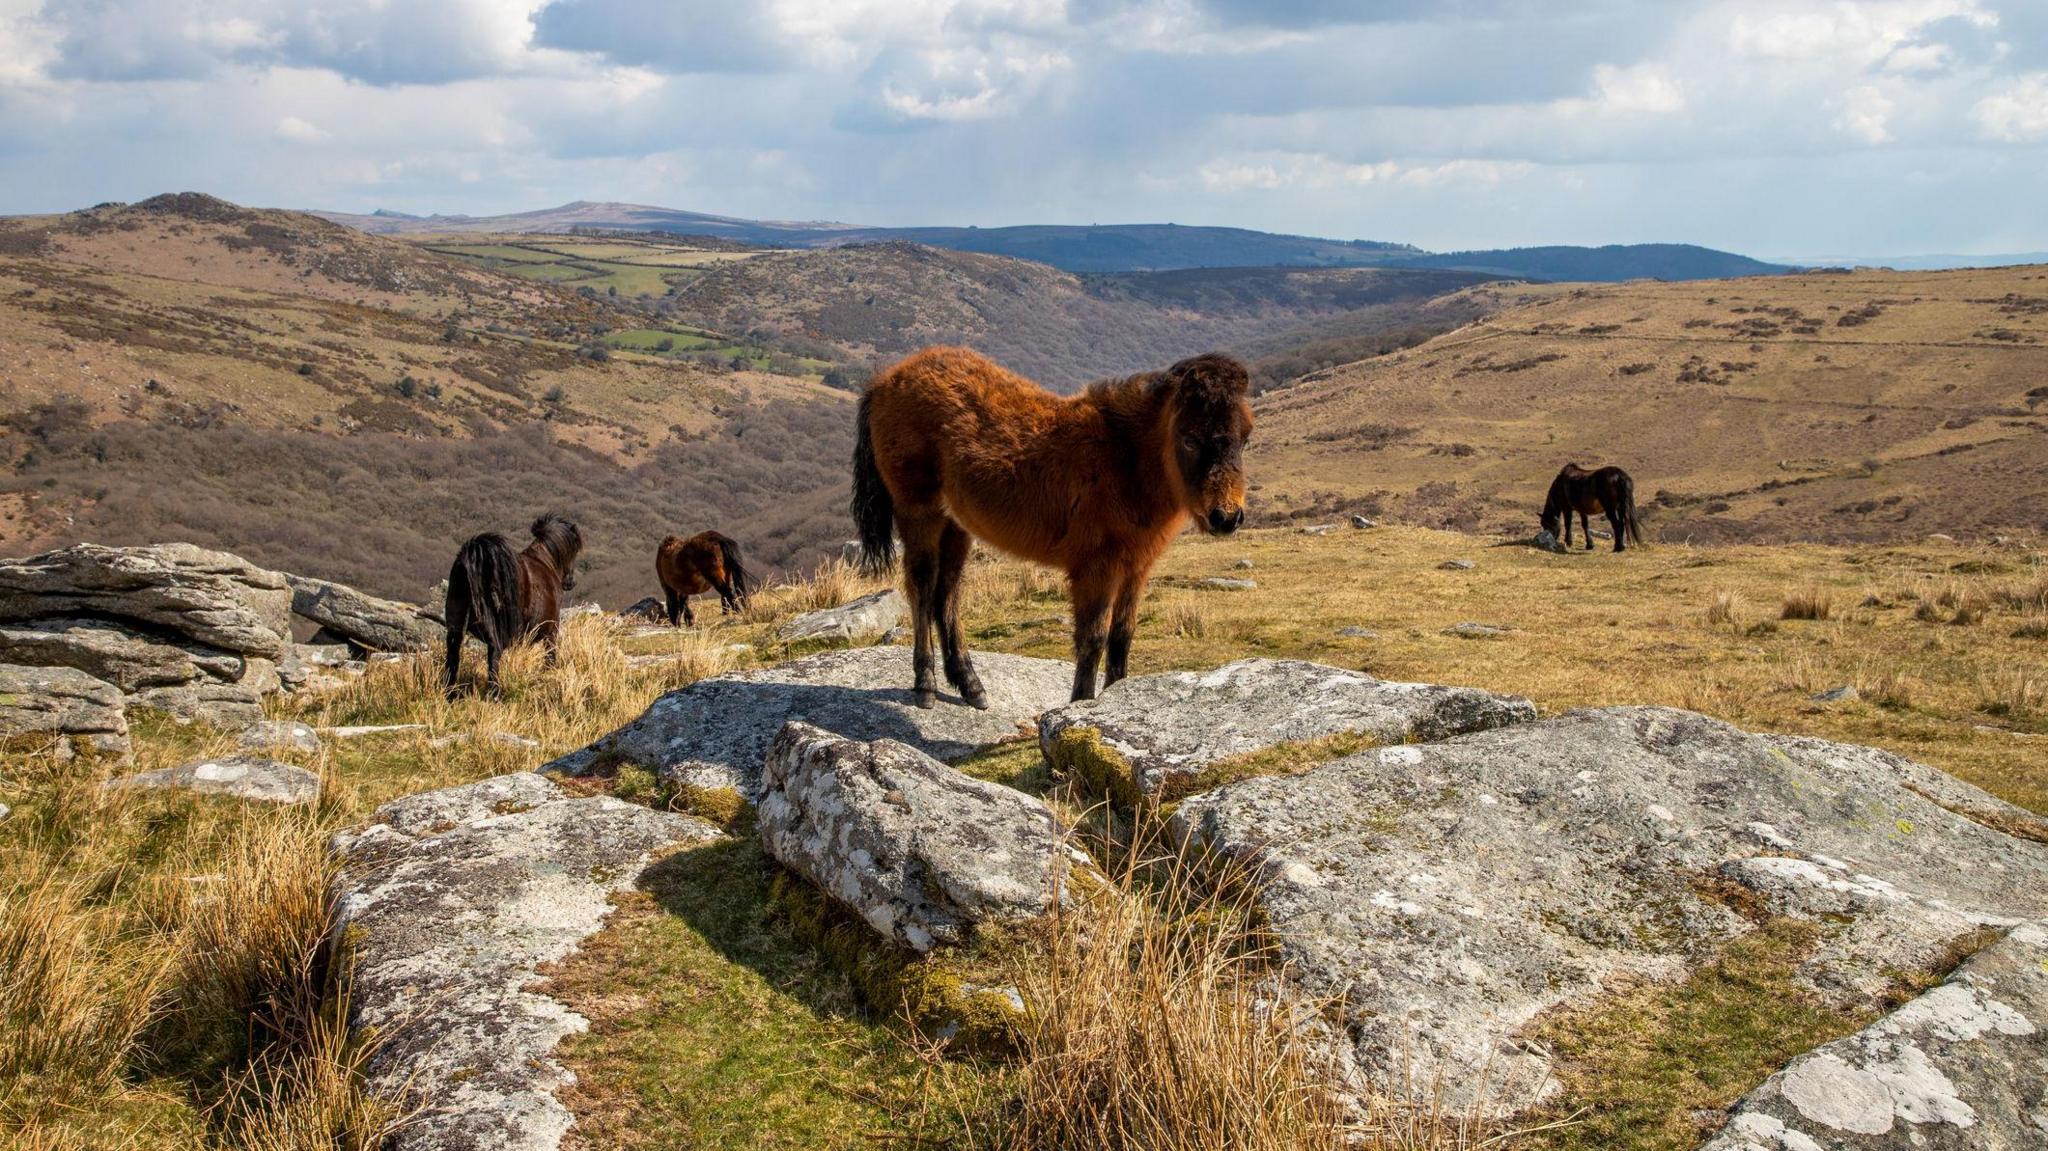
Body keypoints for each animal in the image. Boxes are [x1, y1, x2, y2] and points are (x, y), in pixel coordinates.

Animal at [442, 512, 585, 696]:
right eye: (574, 550)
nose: (570, 582)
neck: (545, 562)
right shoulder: (551, 628)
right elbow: (550, 654)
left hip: (456, 623)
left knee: (453, 655)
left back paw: (450, 693)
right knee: (494, 654)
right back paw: (494, 692)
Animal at [847, 339, 1245, 704]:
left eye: (1243, 439)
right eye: (1189, 439)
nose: (1226, 517)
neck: (1124, 461)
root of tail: (885, 379)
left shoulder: (1137, 566)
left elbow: (1122, 636)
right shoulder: (1096, 567)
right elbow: (1093, 639)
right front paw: (1081, 705)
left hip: (955, 523)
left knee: (947, 592)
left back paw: (970, 685)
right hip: (919, 513)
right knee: (922, 588)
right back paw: (926, 685)